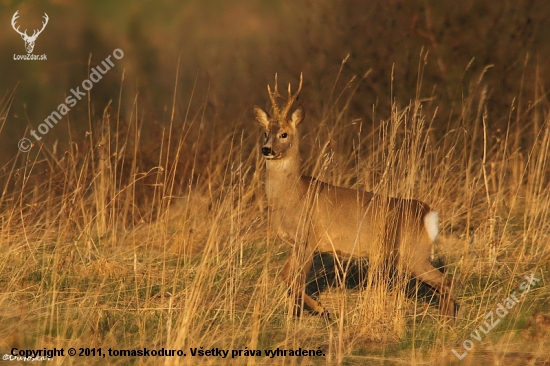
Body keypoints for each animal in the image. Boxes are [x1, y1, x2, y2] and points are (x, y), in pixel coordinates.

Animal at [254, 73, 458, 322]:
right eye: (265, 132)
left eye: (284, 133)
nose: (267, 149)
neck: (293, 196)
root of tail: (429, 214)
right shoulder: (297, 243)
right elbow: (285, 276)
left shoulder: (309, 238)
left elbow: (297, 281)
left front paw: (316, 311)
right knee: (441, 285)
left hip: (413, 252)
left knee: (446, 282)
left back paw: (446, 323)